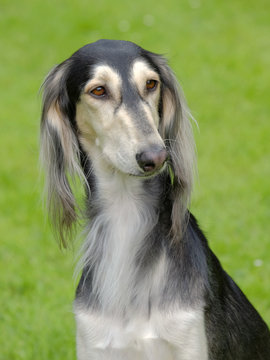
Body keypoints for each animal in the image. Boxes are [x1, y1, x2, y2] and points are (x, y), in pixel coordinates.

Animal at [40, 38, 270, 358]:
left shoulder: (189, 337)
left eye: (151, 84)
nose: (155, 156)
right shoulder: (92, 342)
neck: (127, 220)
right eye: (98, 90)